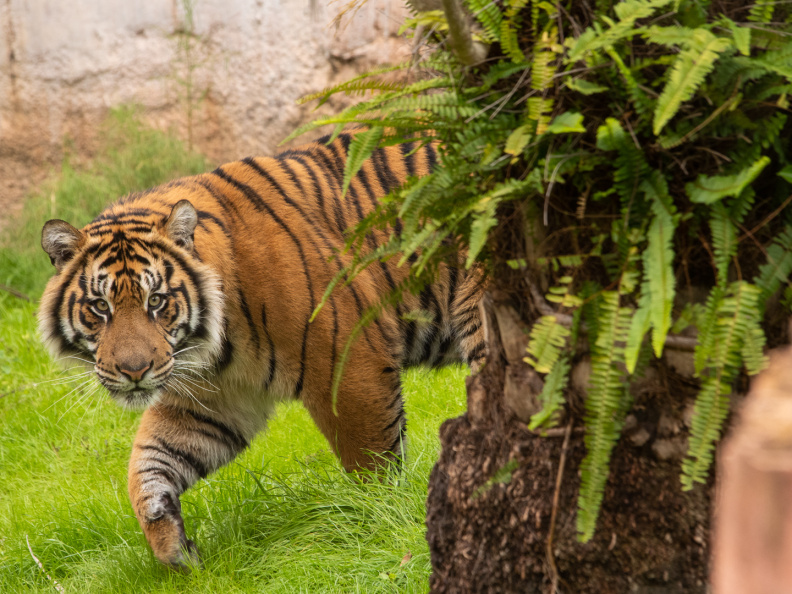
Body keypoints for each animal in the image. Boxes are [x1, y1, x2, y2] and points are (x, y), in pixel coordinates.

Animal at [38, 132, 485, 568]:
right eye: (101, 306)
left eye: (157, 301)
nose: (134, 371)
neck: (214, 346)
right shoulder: (212, 401)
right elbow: (148, 463)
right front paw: (171, 545)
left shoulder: (350, 363)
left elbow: (370, 460)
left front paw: (381, 516)